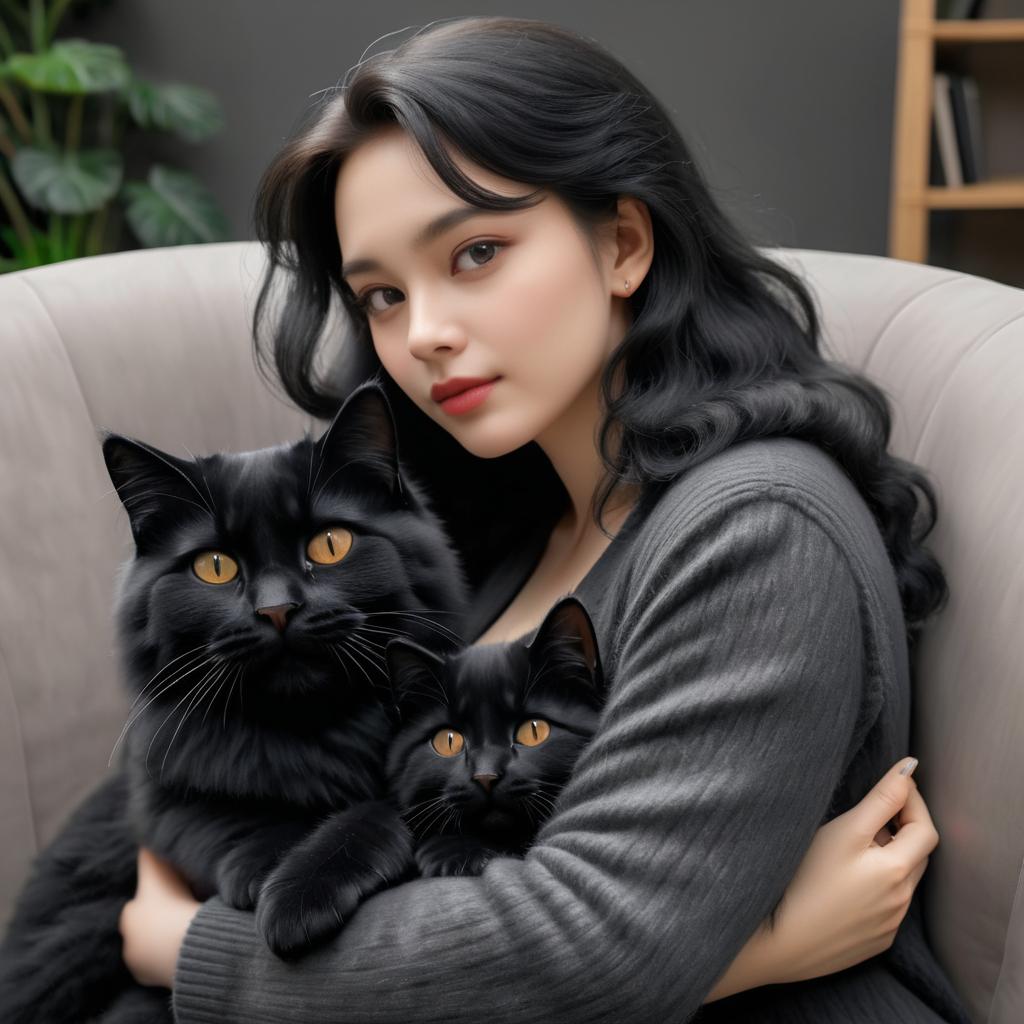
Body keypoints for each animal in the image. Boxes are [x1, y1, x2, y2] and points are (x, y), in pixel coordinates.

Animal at [0, 382, 468, 1024]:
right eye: (215, 567)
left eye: (330, 545)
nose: (276, 609)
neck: (315, 736)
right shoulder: (162, 797)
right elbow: (224, 822)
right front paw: (272, 876)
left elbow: (378, 812)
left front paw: (298, 894)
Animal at [254, 598, 602, 954]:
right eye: (448, 741)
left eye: (534, 731)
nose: (486, 775)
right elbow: (362, 820)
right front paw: (296, 900)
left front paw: (454, 852)